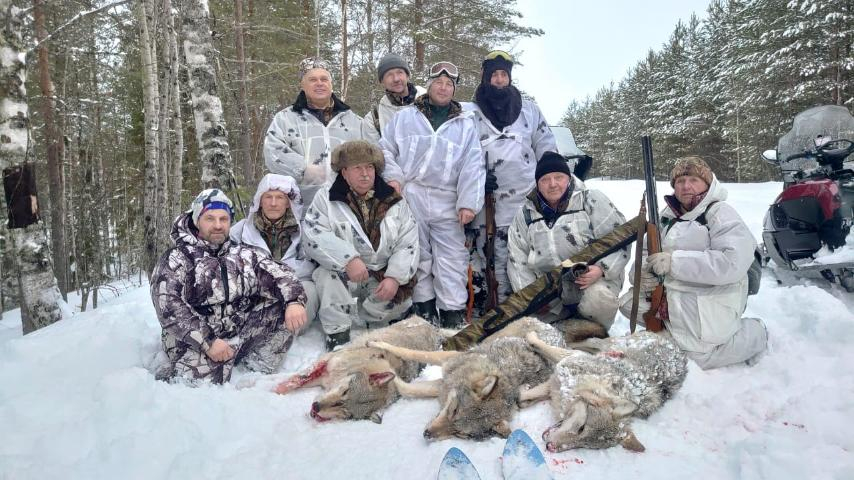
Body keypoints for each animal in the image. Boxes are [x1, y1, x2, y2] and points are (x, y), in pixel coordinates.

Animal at [520, 330, 688, 454]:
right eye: (581, 428)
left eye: (584, 446)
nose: (551, 447)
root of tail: (676, 346)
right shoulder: (564, 368)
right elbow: (541, 346)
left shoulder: (557, 383)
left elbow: (529, 395)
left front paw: (524, 395)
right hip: (607, 343)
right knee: (590, 341)